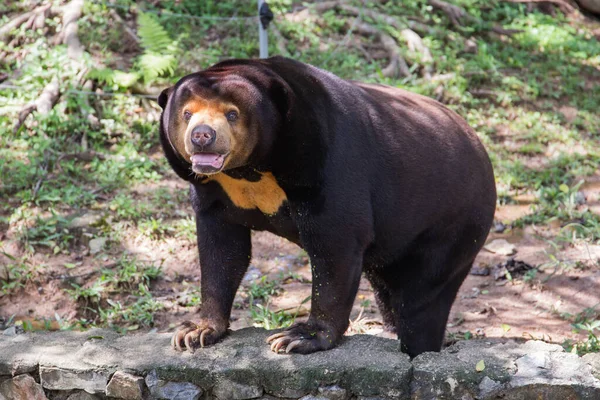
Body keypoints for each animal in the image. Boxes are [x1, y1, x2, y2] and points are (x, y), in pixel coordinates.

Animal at [158, 55, 496, 356]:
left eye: (232, 114)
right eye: (186, 114)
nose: (203, 136)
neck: (250, 170)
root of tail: (480, 147)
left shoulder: (325, 162)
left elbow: (336, 244)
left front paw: (299, 337)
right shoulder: (215, 191)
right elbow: (222, 249)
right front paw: (196, 331)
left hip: (449, 226)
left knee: (420, 302)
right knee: (390, 294)